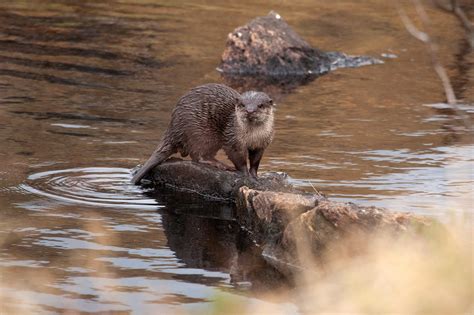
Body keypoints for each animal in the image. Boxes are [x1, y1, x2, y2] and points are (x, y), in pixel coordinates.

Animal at [131, 83, 276, 185]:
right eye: (242, 104)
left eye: (260, 105)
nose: (250, 111)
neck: (253, 136)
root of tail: (173, 126)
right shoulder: (233, 140)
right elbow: (238, 158)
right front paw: (245, 175)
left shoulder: (262, 144)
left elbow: (255, 161)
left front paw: (256, 176)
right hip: (200, 134)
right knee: (197, 155)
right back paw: (221, 165)